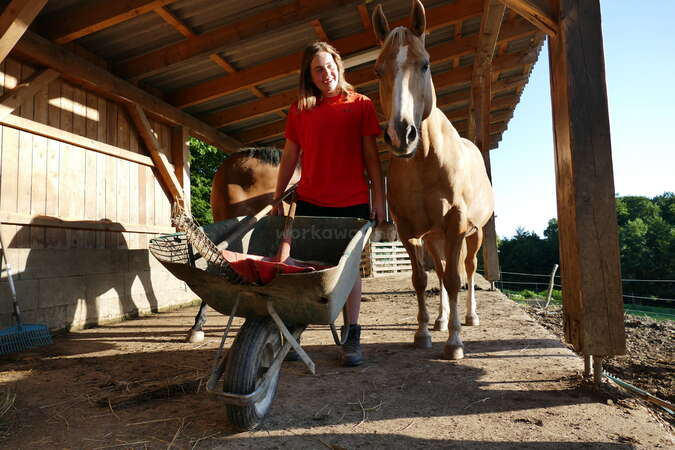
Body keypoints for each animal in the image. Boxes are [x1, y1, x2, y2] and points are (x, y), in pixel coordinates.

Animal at [372, 0, 494, 358]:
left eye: (424, 65)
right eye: (378, 70)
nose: (401, 134)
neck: (426, 162)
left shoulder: (456, 224)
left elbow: (455, 279)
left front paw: (454, 343)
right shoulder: (411, 232)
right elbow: (422, 280)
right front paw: (425, 332)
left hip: (474, 233)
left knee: (467, 269)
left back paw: (469, 316)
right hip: (434, 238)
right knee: (439, 272)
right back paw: (441, 320)